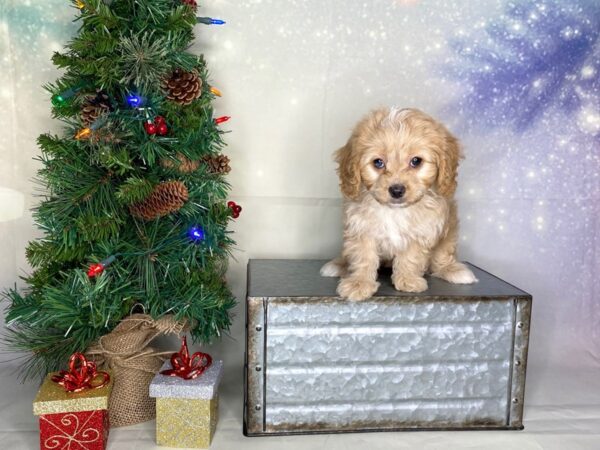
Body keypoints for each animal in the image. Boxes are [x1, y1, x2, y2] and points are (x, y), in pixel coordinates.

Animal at [324, 107, 478, 300]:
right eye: (378, 162)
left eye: (416, 161)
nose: (397, 190)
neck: (395, 211)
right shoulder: (360, 228)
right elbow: (363, 256)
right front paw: (359, 283)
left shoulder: (422, 230)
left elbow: (411, 256)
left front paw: (408, 280)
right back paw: (339, 265)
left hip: (450, 228)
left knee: (443, 254)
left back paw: (453, 270)